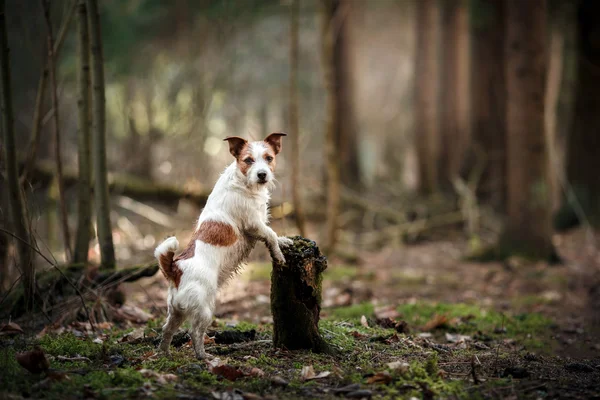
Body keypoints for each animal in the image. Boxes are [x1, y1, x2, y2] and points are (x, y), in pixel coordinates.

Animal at [154, 132, 292, 360]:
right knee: (195, 332)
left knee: (167, 331)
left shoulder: (259, 223)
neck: (243, 183)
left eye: (269, 158)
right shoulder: (253, 224)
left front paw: (284, 242)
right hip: (204, 308)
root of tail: (175, 269)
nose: (262, 174)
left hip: (176, 311)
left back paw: (165, 353)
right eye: (248, 160)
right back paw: (204, 356)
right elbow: (270, 235)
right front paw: (279, 255)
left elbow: (272, 234)